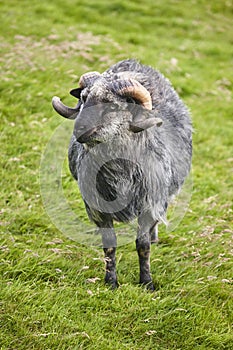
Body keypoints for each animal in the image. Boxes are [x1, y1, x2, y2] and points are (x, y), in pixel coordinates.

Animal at [52, 59, 193, 290]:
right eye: (84, 98)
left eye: (111, 105)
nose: (79, 129)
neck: (120, 174)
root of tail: (134, 63)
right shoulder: (97, 208)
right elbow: (109, 246)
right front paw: (111, 282)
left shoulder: (149, 205)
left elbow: (142, 246)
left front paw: (147, 283)